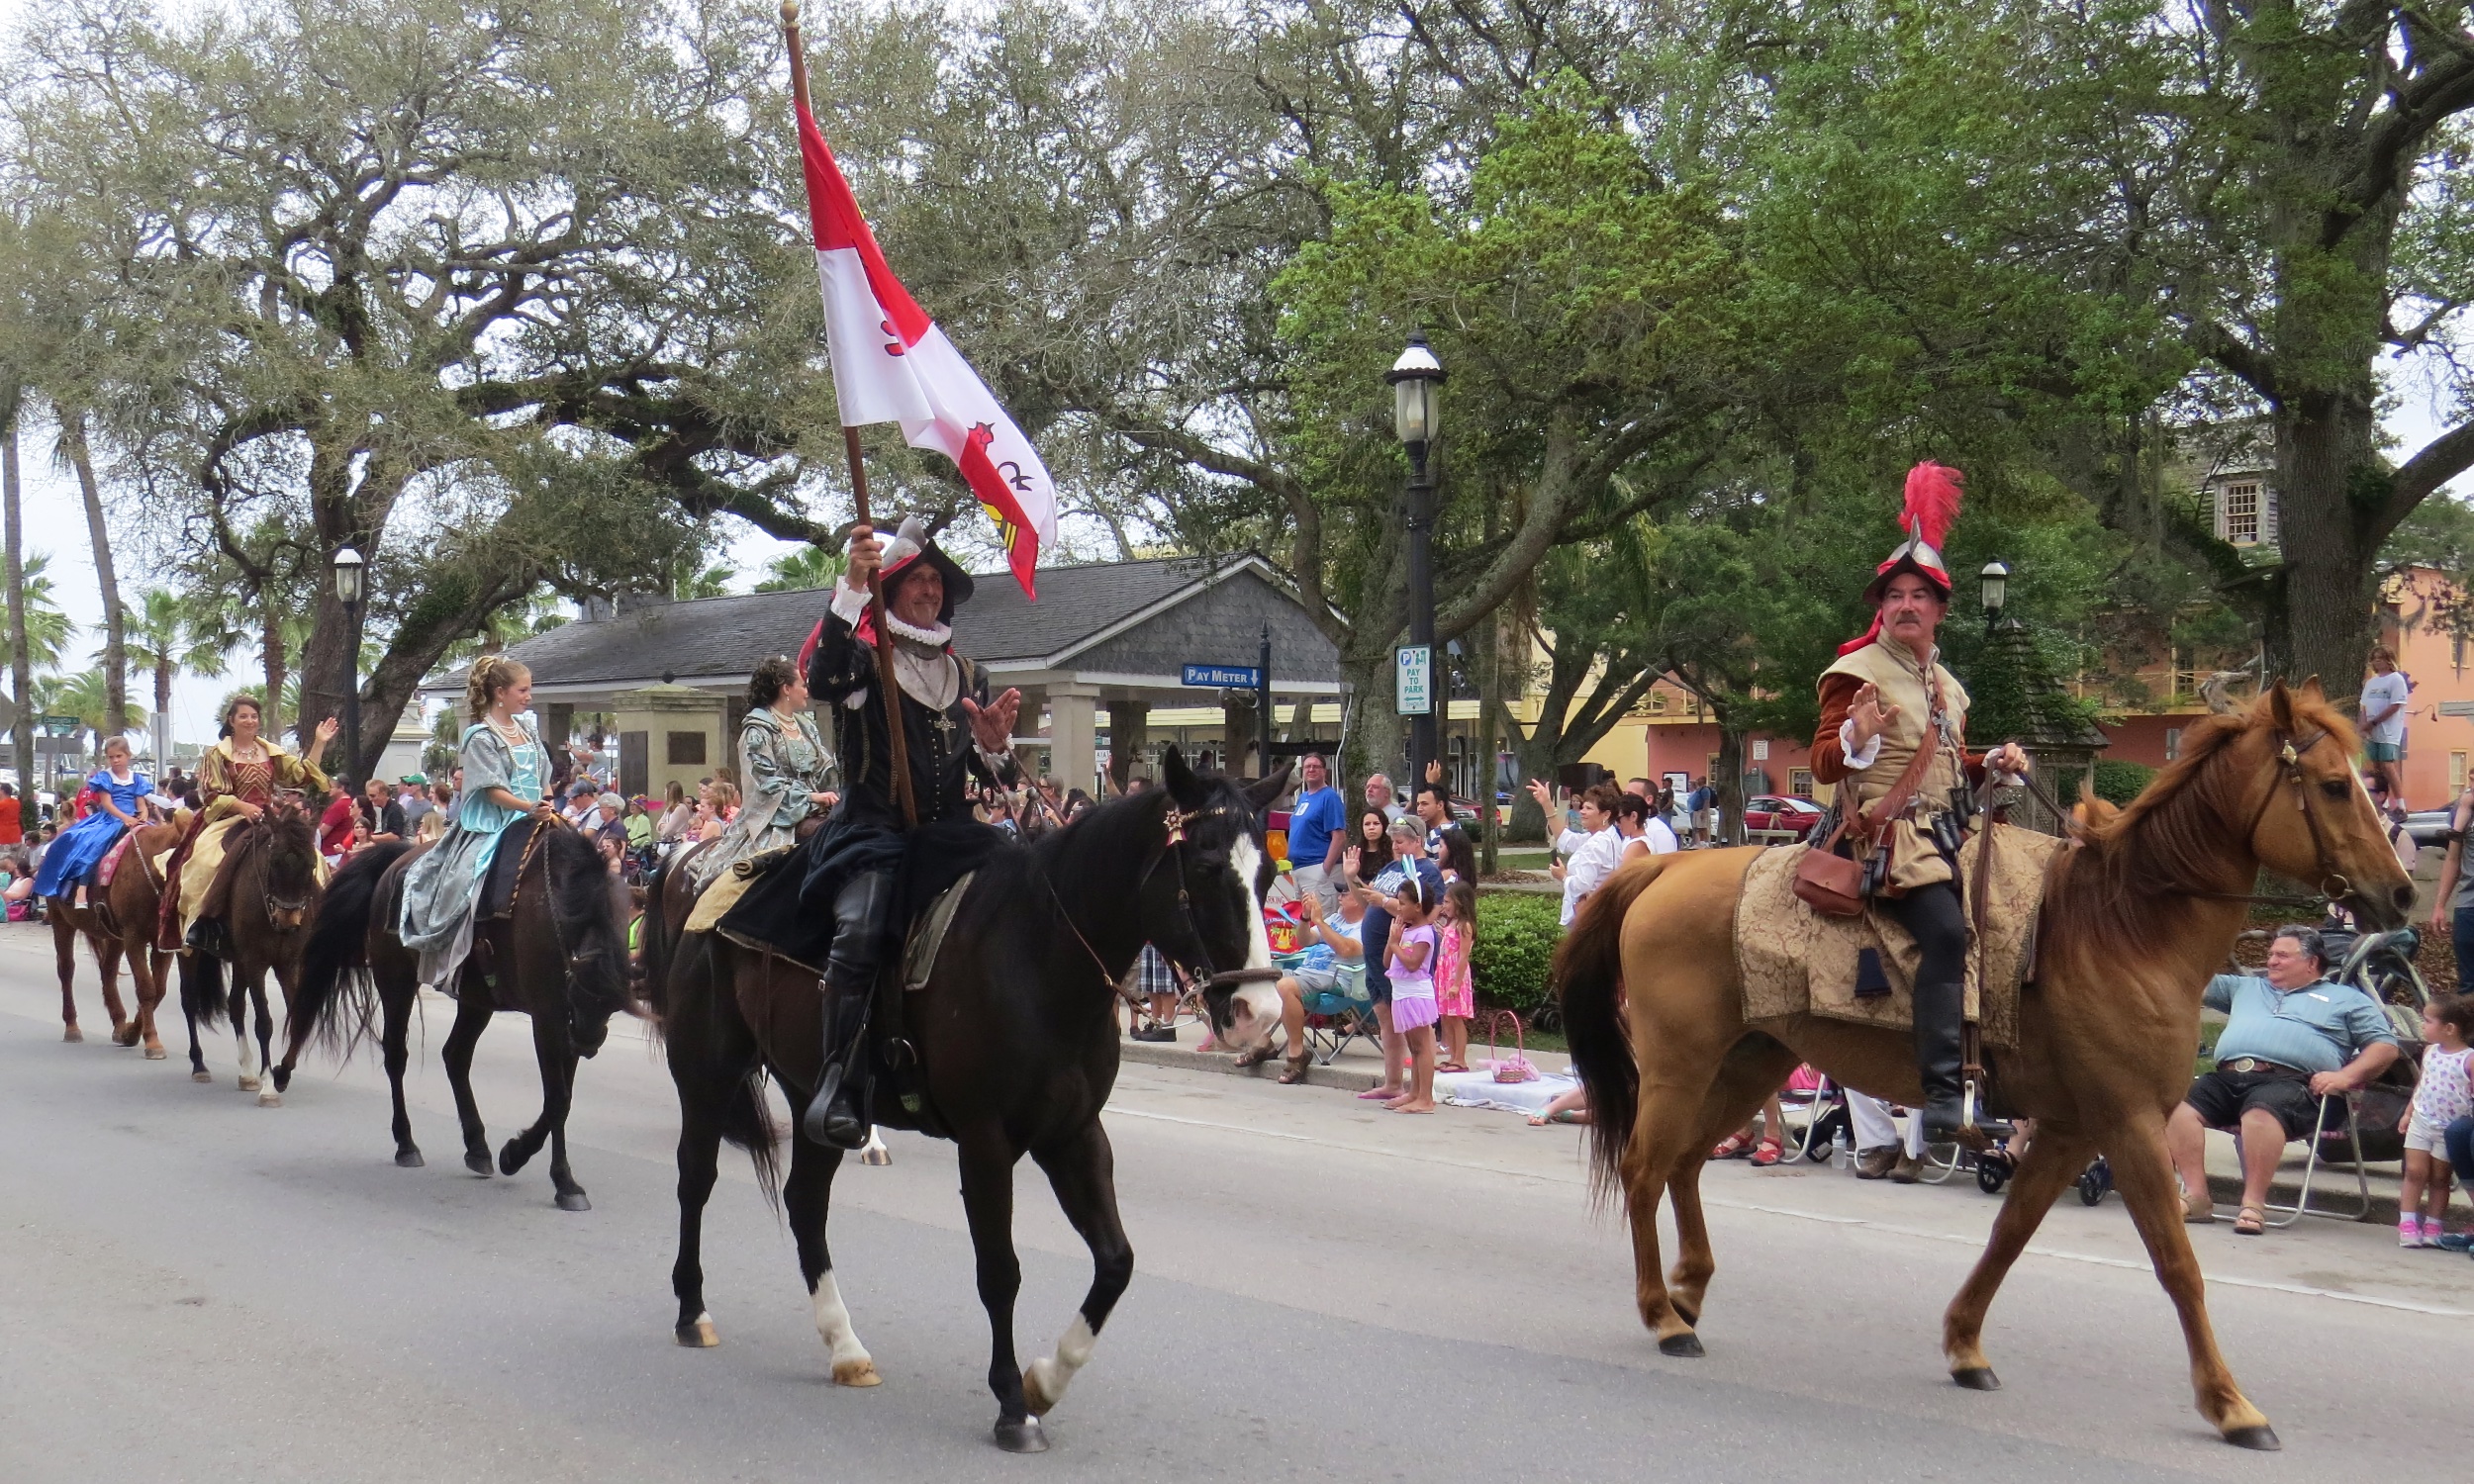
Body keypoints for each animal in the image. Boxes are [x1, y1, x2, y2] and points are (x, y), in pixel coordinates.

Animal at [47, 816, 183, 1059]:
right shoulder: (134, 938)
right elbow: (147, 989)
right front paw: (152, 1042)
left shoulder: (163, 943)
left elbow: (159, 990)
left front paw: (131, 1032)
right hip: (61, 921)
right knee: (66, 970)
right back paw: (72, 1026)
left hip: (113, 936)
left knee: (108, 970)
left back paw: (119, 1024)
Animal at [180, 806, 327, 1108]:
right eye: (275, 862)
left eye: (310, 865)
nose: (288, 920)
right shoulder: (257, 961)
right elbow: (264, 1024)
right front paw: (269, 1086)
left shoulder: (288, 964)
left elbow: (299, 1017)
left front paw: (282, 1074)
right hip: (191, 950)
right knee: (189, 1001)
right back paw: (199, 1065)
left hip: (239, 961)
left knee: (235, 1005)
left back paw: (247, 1073)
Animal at [283, 816, 633, 1212]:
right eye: (581, 988)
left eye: (615, 1002)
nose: (588, 1042)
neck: (558, 908)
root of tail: (399, 861)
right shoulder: (548, 1017)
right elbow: (557, 1100)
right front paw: (550, 1174)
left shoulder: (563, 1020)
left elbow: (563, 1099)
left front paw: (532, 1163)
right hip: (396, 981)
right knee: (397, 1056)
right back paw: (406, 1144)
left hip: (475, 999)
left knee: (455, 1055)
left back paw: (477, 1147)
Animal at [638, 752, 1296, 1444]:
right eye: (1206, 865)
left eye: (1268, 872)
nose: (1258, 1011)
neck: (1041, 957)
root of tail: (701, 874)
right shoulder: (986, 1141)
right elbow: (1000, 1270)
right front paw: (1011, 1402)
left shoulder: (1074, 1134)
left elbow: (1116, 1261)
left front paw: (1046, 1380)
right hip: (707, 1074)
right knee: (696, 1178)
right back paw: (692, 1311)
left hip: (812, 1094)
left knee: (806, 1204)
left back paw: (845, 1347)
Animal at [1564, 683, 2415, 1444]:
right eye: (2334, 785)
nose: (2402, 894)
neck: (2124, 927)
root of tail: (1663, 870)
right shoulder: (2130, 1123)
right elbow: (2177, 1263)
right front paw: (2231, 1404)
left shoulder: (2072, 1128)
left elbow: (2012, 1230)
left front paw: (1965, 1344)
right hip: (1679, 1066)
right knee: (1645, 1168)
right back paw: (1662, 1314)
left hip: (1749, 1065)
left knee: (1684, 1164)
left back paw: (1688, 1292)